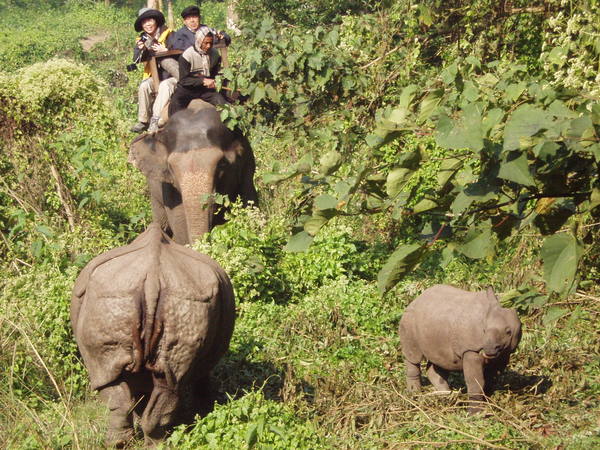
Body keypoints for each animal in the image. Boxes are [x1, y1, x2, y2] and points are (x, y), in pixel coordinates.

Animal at [129, 100, 258, 244]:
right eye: (171, 167)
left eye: (221, 164)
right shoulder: (167, 183)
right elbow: (178, 217)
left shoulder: (247, 161)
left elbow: (249, 199)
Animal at [398, 284, 520, 414]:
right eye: (484, 330)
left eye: (508, 332)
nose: (488, 350)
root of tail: (415, 300)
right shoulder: (470, 350)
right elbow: (476, 382)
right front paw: (474, 413)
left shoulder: (503, 355)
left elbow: (489, 380)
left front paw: (488, 405)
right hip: (408, 319)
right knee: (413, 357)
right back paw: (414, 396)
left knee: (440, 361)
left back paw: (446, 396)